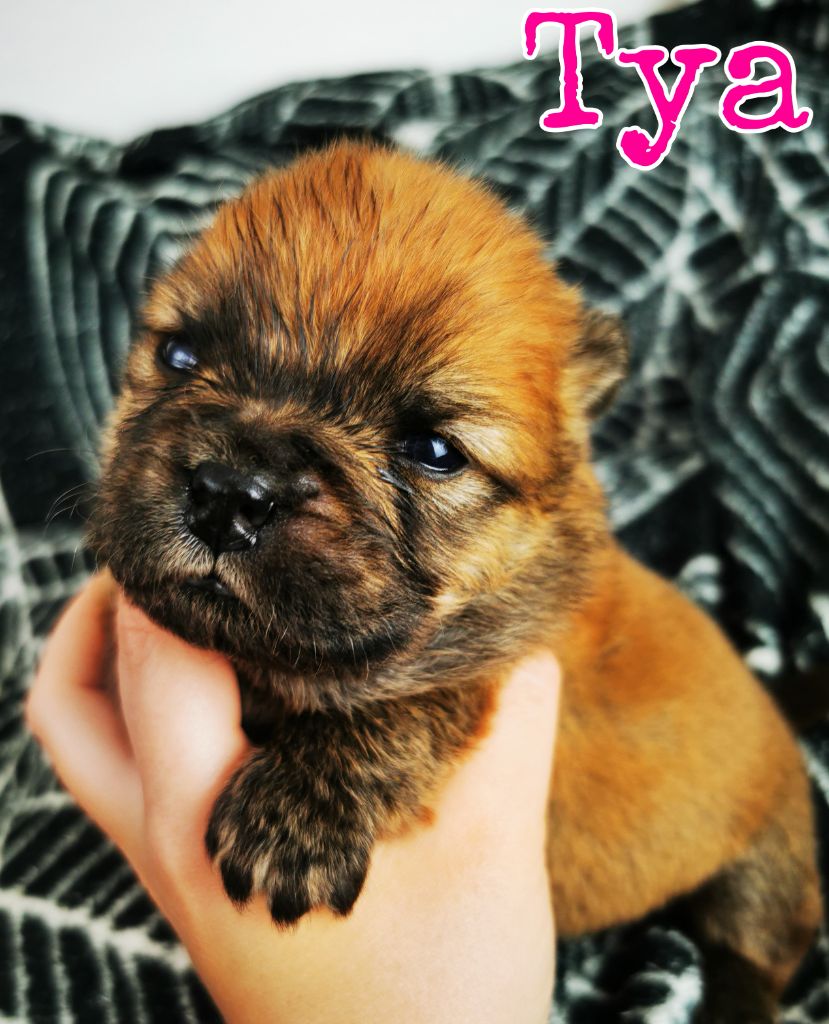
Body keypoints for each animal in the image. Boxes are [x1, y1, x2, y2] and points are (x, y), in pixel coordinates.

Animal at [89, 141, 821, 1022]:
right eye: (180, 357)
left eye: (433, 451)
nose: (228, 492)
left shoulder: (505, 659)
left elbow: (419, 698)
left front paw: (297, 810)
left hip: (766, 867)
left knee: (752, 951)